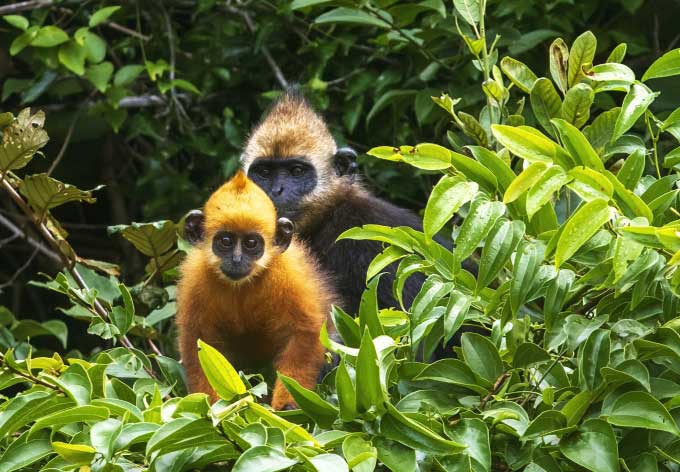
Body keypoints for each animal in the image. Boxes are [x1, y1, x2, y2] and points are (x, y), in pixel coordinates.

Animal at [175, 170, 334, 410]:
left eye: (251, 243)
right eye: (225, 241)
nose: (237, 260)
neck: (241, 286)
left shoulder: (288, 274)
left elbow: (303, 331)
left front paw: (288, 406)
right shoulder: (196, 278)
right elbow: (200, 342)